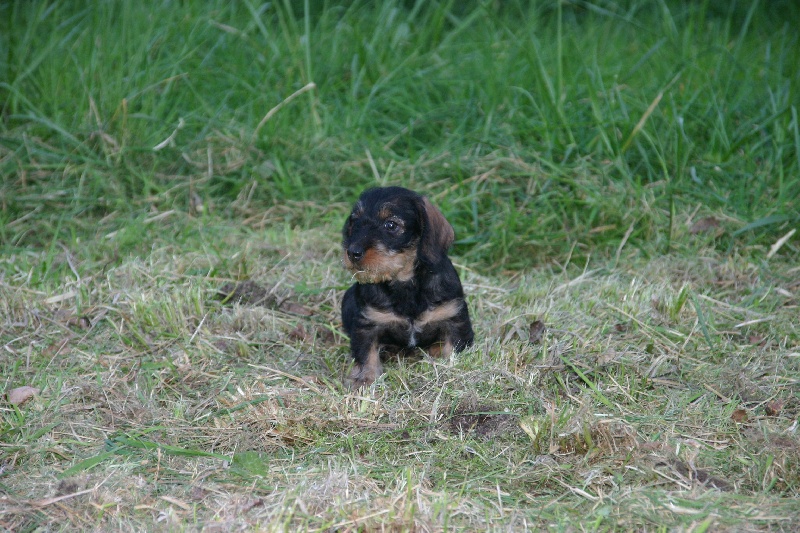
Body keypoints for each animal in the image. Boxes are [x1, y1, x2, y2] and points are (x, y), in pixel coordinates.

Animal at [340, 187, 476, 386]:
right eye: (354, 220)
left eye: (390, 225)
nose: (352, 252)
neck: (405, 283)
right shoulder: (367, 324)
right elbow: (366, 353)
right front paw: (364, 378)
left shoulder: (454, 318)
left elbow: (452, 349)